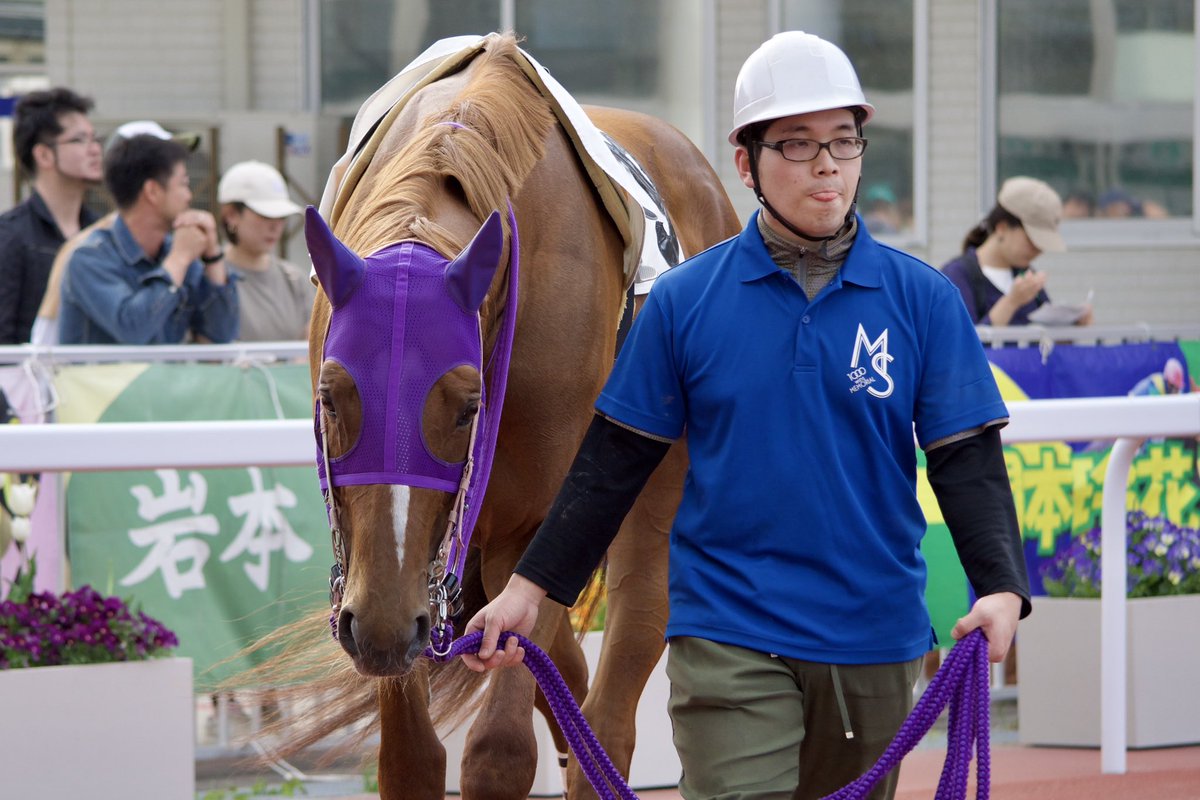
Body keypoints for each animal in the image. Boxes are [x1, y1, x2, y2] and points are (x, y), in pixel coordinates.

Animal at [307, 34, 739, 796]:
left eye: (467, 407)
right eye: (331, 396)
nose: (381, 627)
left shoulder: (531, 528)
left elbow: (499, 751)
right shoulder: (390, 575)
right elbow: (410, 758)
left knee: (617, 686)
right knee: (571, 678)